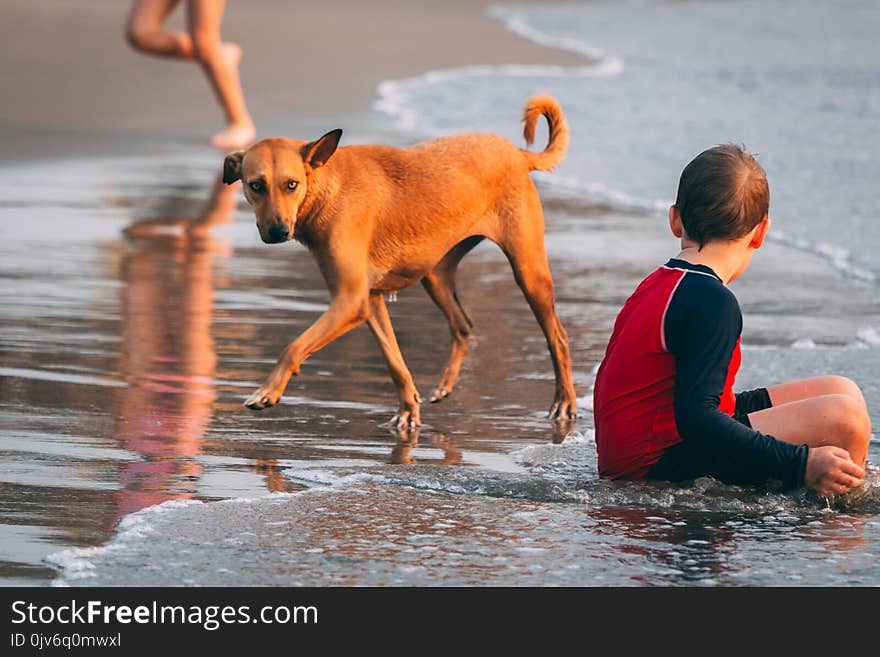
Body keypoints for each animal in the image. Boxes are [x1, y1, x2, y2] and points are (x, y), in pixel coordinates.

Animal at [223, 95, 576, 428]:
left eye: (291, 184)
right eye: (256, 186)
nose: (278, 231)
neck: (327, 188)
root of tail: (517, 153)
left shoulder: (350, 301)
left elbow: (294, 346)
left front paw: (268, 391)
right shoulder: (370, 300)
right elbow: (395, 362)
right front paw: (408, 409)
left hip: (528, 272)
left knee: (557, 337)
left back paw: (564, 403)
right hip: (436, 275)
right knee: (462, 324)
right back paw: (446, 385)